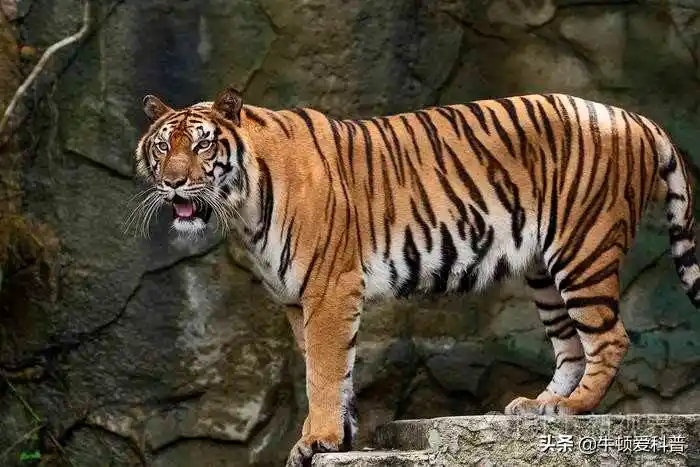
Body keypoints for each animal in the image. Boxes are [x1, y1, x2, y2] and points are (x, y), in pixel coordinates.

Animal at [133, 87, 700, 466]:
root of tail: (630, 115)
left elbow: (324, 370)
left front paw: (317, 439)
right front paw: (336, 437)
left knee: (609, 336)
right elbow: (331, 370)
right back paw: (540, 406)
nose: (174, 183)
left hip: (582, 247)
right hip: (544, 268)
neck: (243, 205)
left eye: (203, 146)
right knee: (570, 346)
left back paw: (572, 409)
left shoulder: (328, 288)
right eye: (163, 147)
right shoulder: (297, 300)